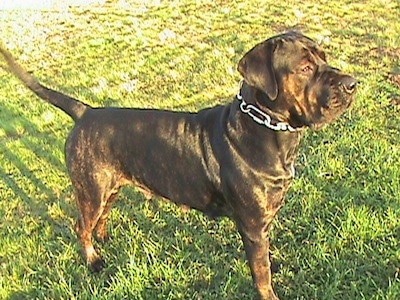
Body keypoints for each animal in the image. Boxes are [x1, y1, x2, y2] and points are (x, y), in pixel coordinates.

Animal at [0, 31, 356, 298]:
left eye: (324, 57)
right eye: (305, 67)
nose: (351, 83)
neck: (266, 128)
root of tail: (85, 112)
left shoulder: (262, 221)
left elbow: (264, 260)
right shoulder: (253, 224)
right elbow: (261, 273)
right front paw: (268, 290)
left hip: (108, 184)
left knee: (100, 215)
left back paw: (103, 238)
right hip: (91, 187)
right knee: (81, 225)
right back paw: (93, 261)